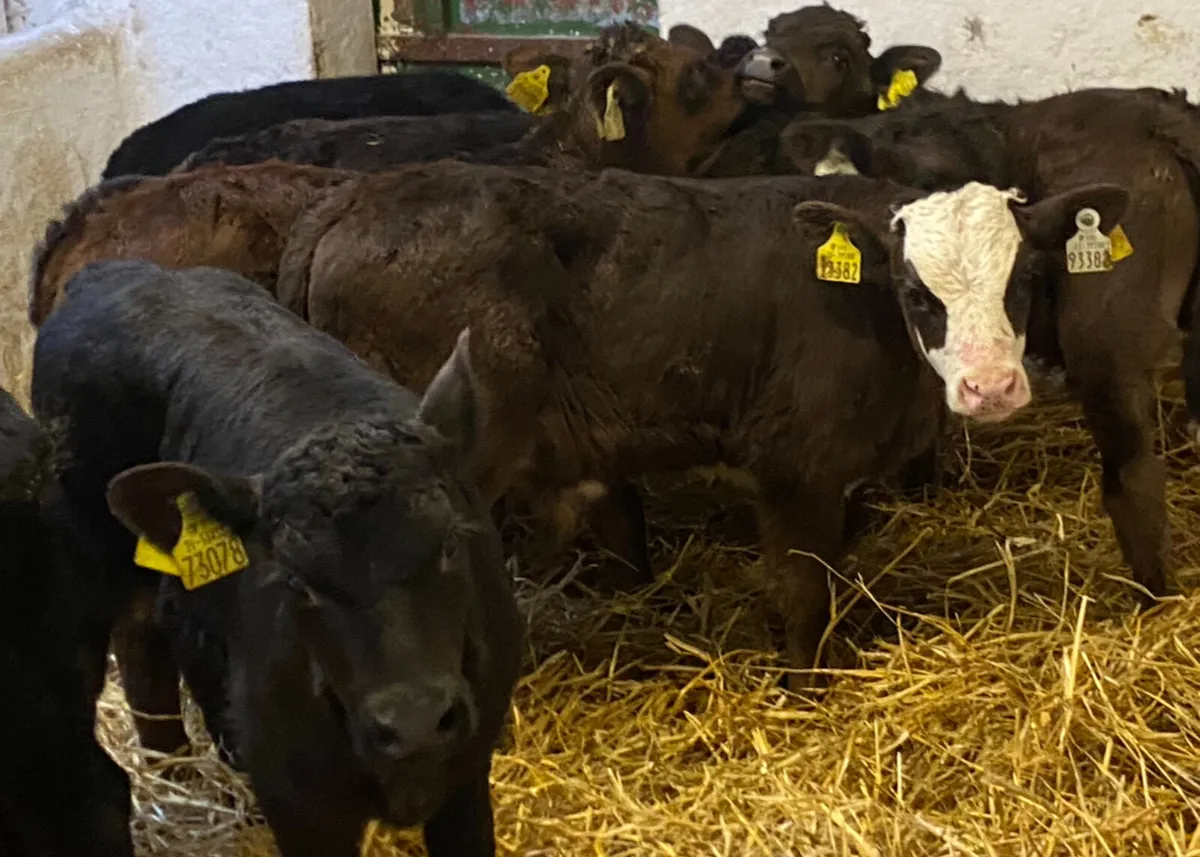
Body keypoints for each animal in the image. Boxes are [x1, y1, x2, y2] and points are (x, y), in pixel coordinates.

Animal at [31, 259, 523, 857]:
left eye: (451, 541)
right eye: (294, 580)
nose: (415, 721)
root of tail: (113, 270)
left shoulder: (468, 771)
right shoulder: (299, 803)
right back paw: (174, 771)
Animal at [272, 160, 1125, 686]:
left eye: (1026, 278)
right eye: (918, 292)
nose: (991, 387)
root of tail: (350, 201)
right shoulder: (796, 465)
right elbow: (804, 587)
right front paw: (808, 686)